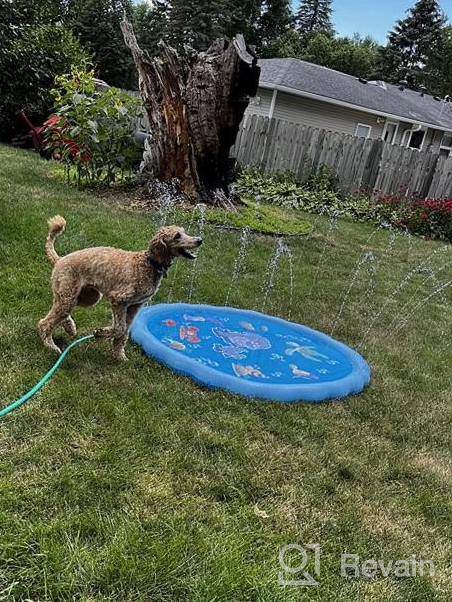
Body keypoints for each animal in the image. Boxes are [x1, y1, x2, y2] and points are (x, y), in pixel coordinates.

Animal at [38, 214, 201, 356]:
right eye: (177, 236)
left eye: (184, 232)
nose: (199, 240)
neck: (149, 263)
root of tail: (59, 259)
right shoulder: (119, 299)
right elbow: (120, 328)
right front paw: (101, 333)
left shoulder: (135, 305)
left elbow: (125, 332)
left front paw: (119, 356)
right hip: (69, 294)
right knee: (45, 322)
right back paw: (50, 346)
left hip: (86, 296)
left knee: (60, 313)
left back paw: (69, 327)